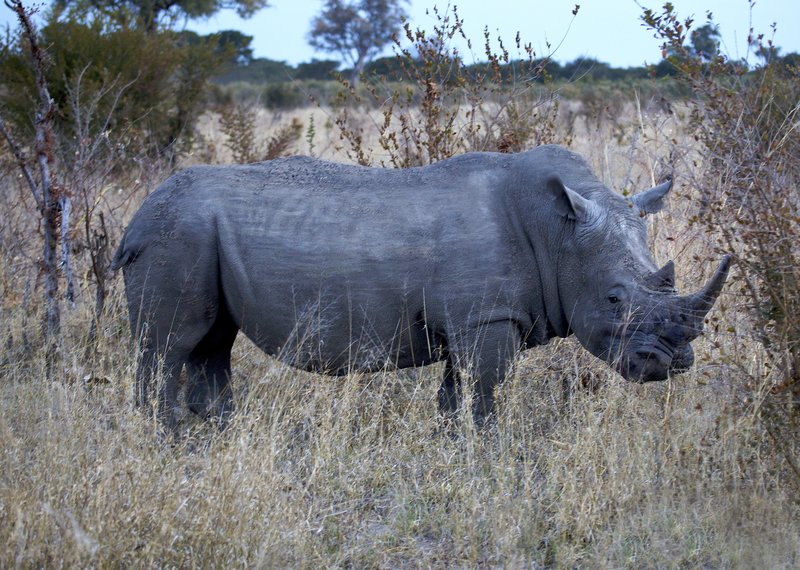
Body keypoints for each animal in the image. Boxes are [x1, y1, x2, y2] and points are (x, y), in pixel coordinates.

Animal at [112, 145, 730, 428]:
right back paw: (164, 438)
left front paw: (454, 444)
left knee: (212, 341)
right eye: (614, 299)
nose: (668, 364)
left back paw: (214, 434)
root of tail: (135, 219)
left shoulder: (472, 319)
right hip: (176, 235)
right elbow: (485, 388)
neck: (558, 233)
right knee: (171, 344)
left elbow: (457, 391)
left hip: (193, 235)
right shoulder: (486, 319)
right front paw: (487, 451)